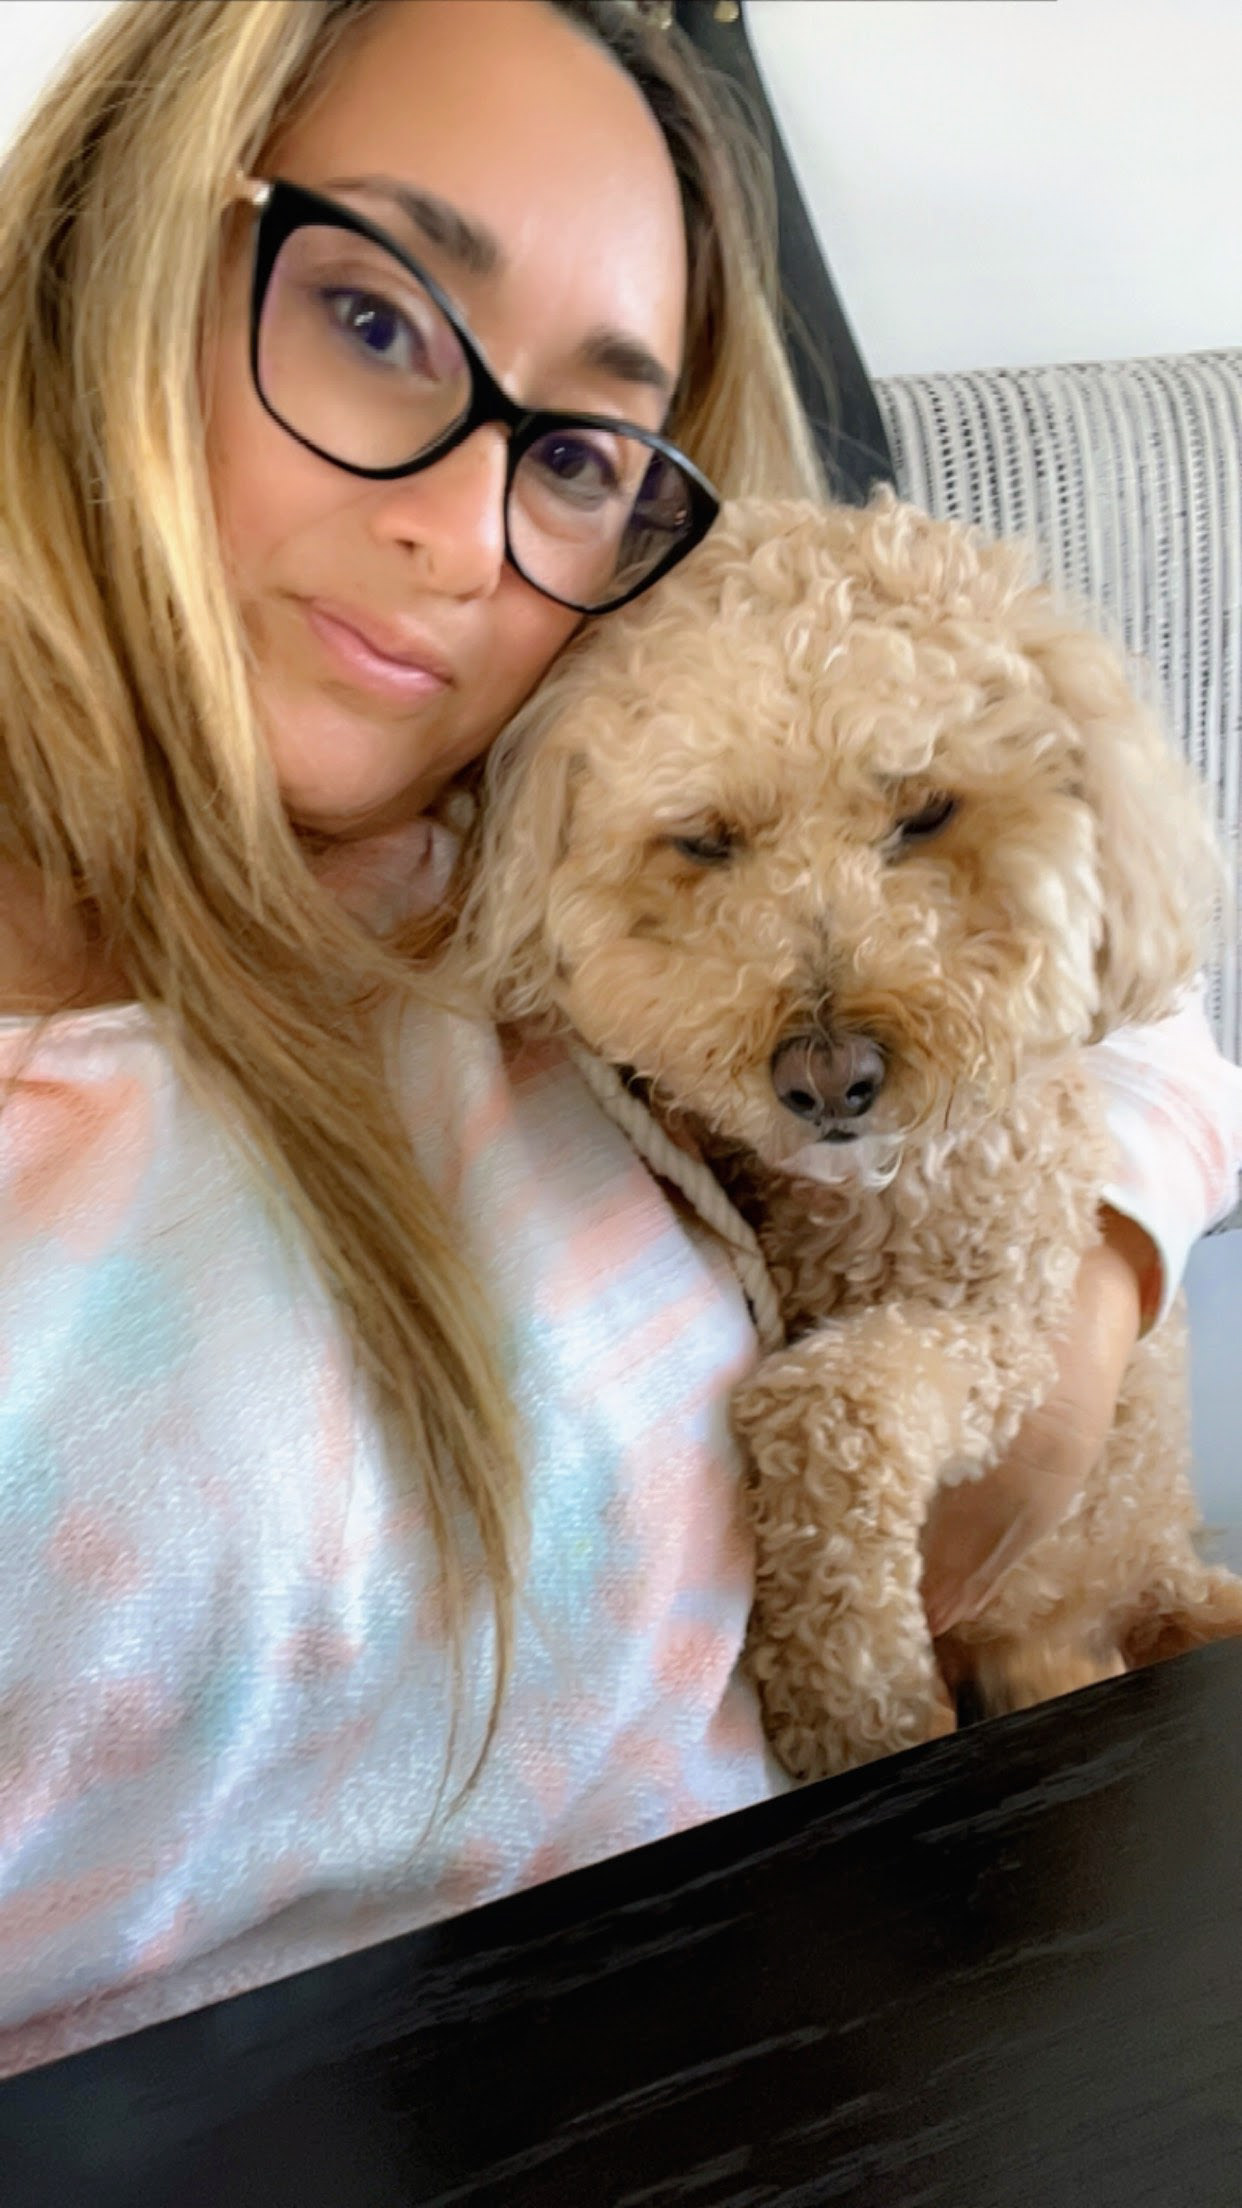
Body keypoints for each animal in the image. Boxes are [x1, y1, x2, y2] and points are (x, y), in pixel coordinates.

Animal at [465, 493, 1242, 1783]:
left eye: (923, 811)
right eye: (704, 839)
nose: (829, 1078)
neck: (867, 1204)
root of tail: (1161, 1576)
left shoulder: (1015, 1337)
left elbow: (832, 1398)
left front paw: (852, 1700)